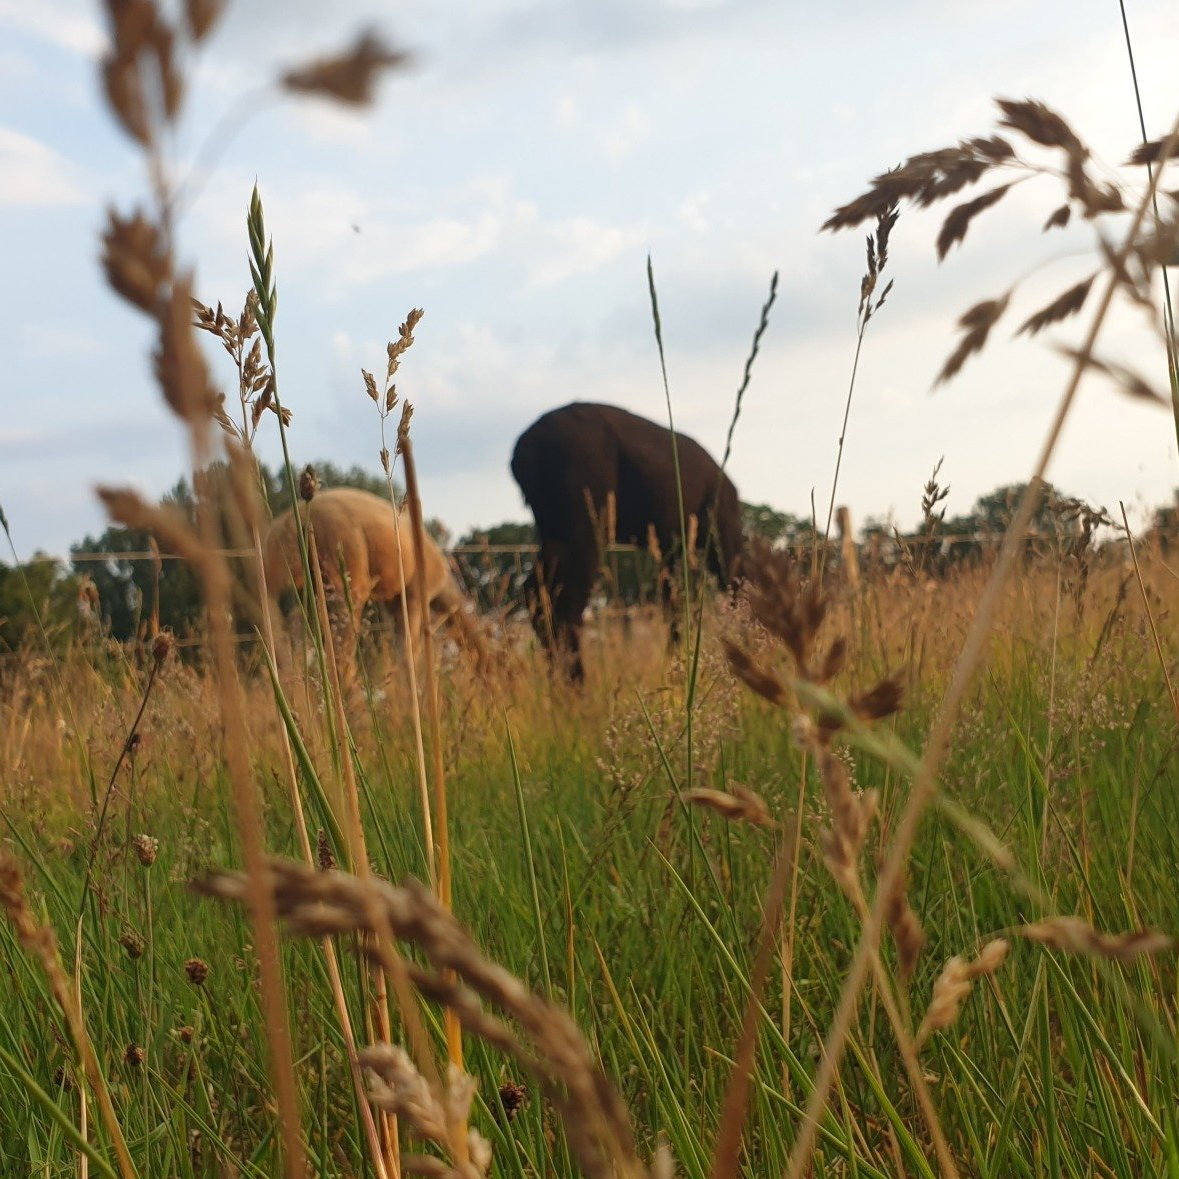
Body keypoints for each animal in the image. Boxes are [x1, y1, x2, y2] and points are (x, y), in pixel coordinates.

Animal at [510, 401, 743, 681]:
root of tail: (525, 450)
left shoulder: (671, 547)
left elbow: (674, 605)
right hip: (585, 525)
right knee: (568, 602)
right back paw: (578, 685)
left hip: (556, 530)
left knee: (537, 592)